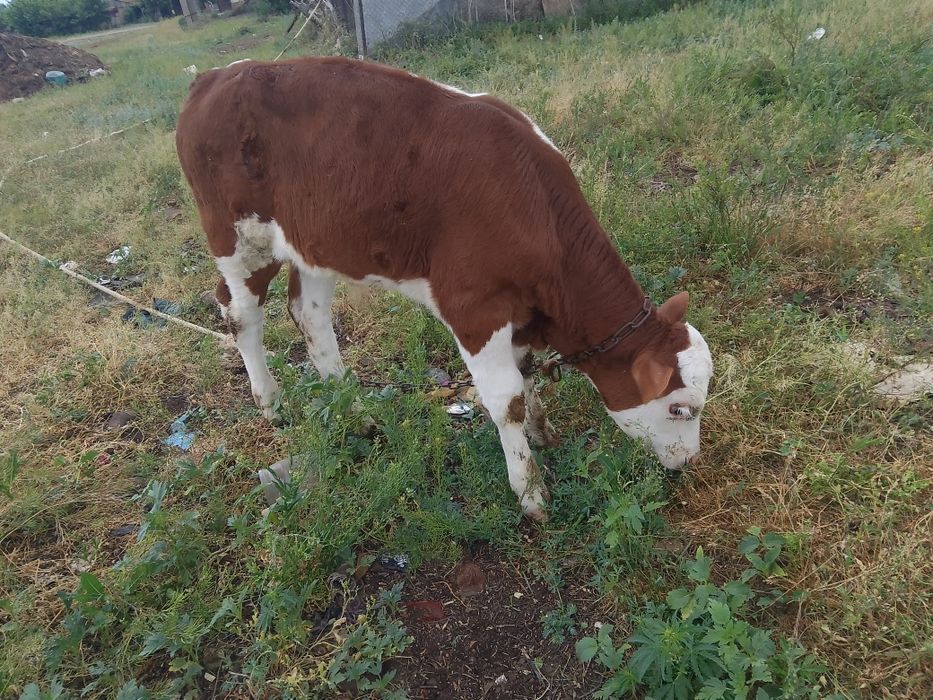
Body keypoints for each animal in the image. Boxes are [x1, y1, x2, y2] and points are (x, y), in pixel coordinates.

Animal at [175, 56, 713, 521]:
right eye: (680, 407)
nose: (690, 462)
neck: (534, 206)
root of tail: (217, 76)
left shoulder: (520, 310)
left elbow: (526, 374)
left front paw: (541, 432)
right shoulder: (474, 307)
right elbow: (506, 399)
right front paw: (530, 492)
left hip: (314, 241)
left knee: (310, 316)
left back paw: (358, 413)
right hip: (237, 235)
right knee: (240, 314)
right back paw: (271, 403)